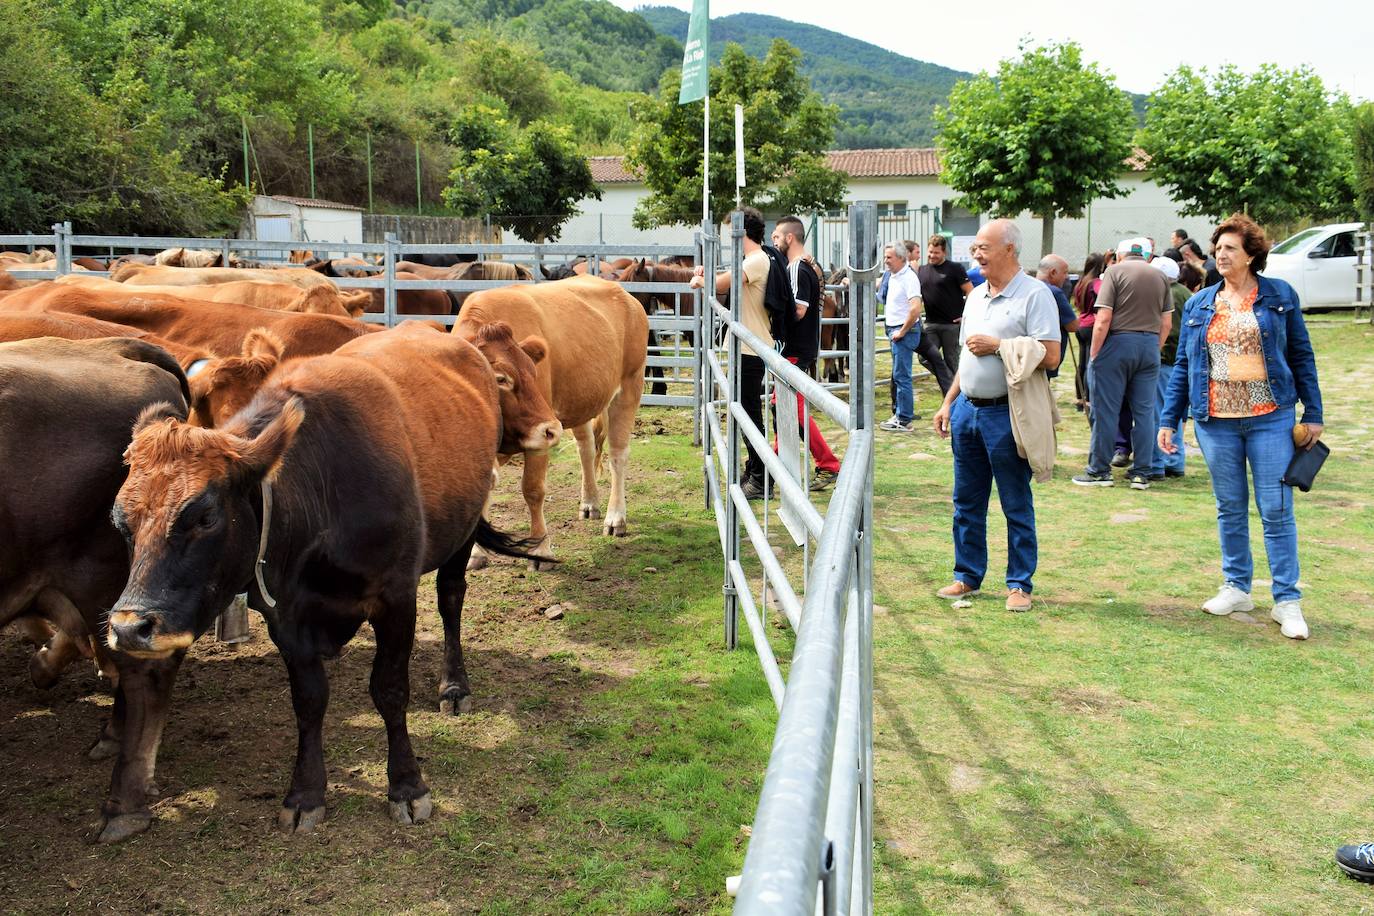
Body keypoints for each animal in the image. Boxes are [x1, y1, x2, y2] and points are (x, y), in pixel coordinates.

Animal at [100, 321, 563, 840]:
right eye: (120, 521)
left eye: (204, 516)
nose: (129, 628)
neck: (319, 498)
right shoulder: (285, 617)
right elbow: (309, 700)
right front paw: (305, 793)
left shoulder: (395, 598)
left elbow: (389, 690)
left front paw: (407, 786)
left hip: (460, 536)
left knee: (451, 600)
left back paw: (454, 685)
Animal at [450, 271, 643, 565]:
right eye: (501, 378)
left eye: (533, 371)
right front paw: (474, 553)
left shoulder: (540, 434)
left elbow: (533, 490)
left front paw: (540, 549)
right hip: (581, 399)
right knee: (586, 448)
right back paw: (589, 503)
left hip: (630, 385)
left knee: (617, 455)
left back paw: (615, 518)